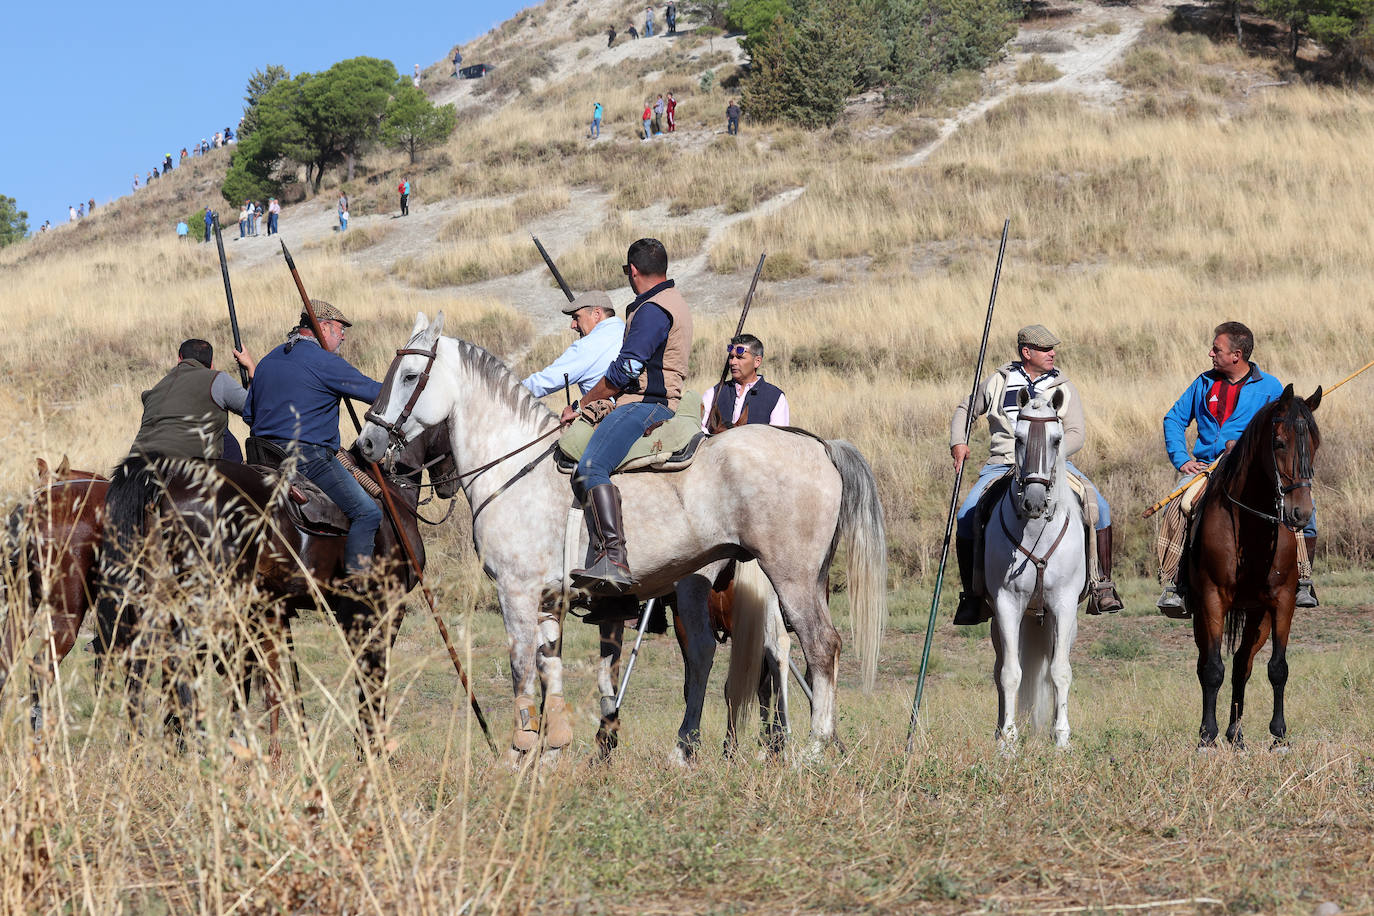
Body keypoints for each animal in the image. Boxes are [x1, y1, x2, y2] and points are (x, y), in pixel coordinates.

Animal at [357, 315, 890, 769]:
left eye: (409, 375)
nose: (367, 445)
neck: (515, 467)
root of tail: (819, 445)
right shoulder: (549, 600)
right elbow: (550, 668)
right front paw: (552, 752)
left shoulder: (517, 592)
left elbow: (521, 668)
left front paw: (517, 755)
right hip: (780, 580)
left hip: (789, 577)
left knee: (817, 646)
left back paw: (812, 750)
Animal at [983, 390, 1088, 747]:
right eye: (1018, 438)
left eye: (1056, 440)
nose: (1035, 501)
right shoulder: (1006, 604)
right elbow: (1009, 674)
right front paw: (1007, 741)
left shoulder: (1065, 605)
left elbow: (1060, 672)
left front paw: (1062, 739)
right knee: (1002, 669)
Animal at [1181, 387, 1319, 752]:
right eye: (1279, 442)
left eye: (1315, 443)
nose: (1301, 513)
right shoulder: (1212, 599)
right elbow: (1212, 669)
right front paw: (1207, 737)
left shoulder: (1281, 602)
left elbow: (1278, 668)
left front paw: (1279, 735)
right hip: (1203, 615)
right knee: (1207, 664)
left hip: (1259, 616)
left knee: (1243, 664)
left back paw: (1236, 734)